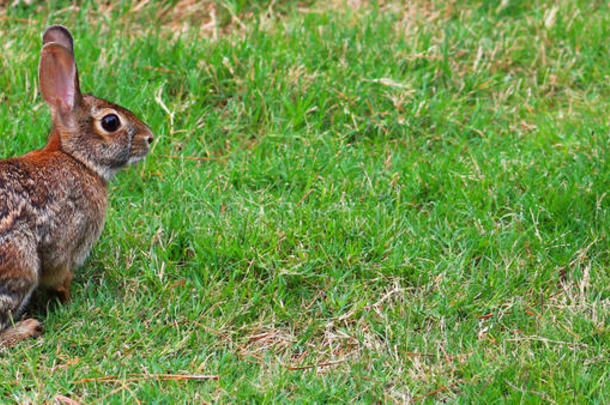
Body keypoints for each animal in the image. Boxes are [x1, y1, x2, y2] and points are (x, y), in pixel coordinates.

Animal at [0, 25, 152, 344]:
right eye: (110, 122)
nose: (150, 138)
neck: (75, 158)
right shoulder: (67, 243)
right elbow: (61, 275)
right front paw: (69, 300)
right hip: (21, 261)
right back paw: (27, 327)